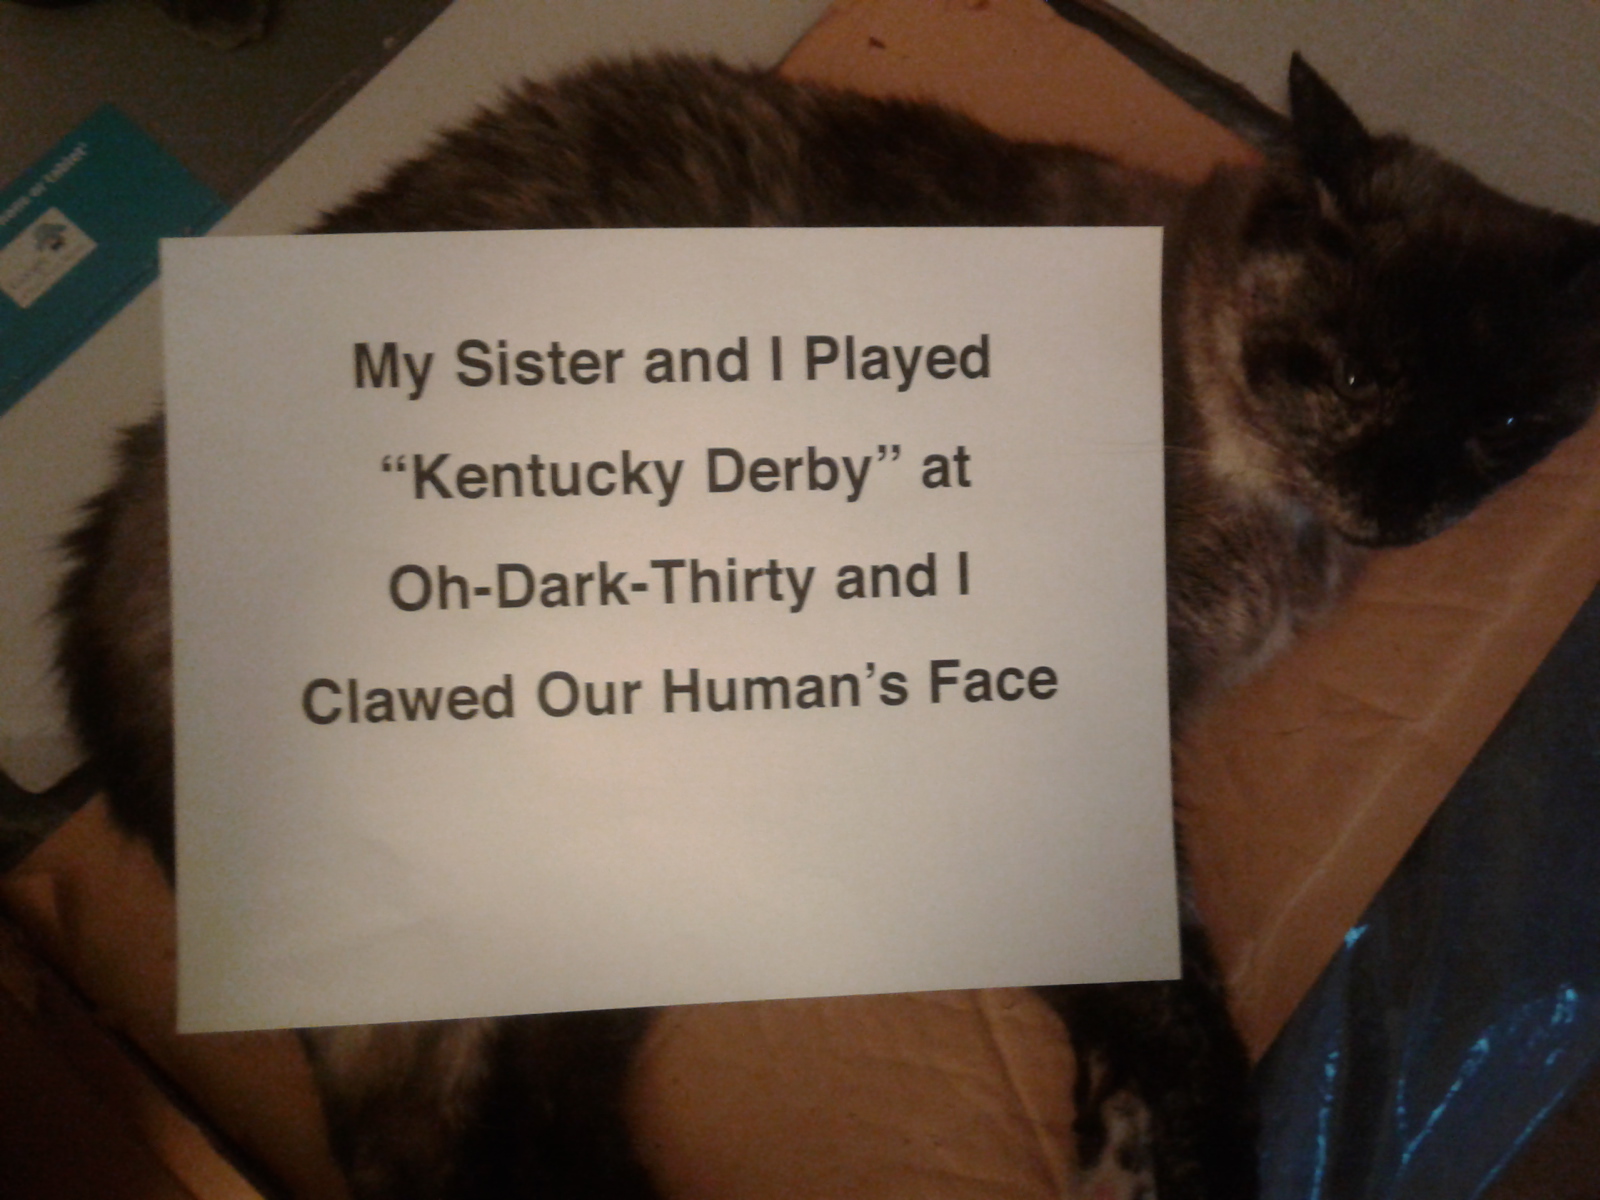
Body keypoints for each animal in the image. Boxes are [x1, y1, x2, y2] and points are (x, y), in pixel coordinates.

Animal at [53, 53, 1600, 1200]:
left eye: (1505, 428)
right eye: (1357, 374)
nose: (1403, 503)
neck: (1262, 520)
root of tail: (114, 511)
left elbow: (1140, 990)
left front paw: (1120, 1157)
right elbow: (1164, 1005)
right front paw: (1198, 1157)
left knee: (520, 1110)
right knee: (409, 1151)